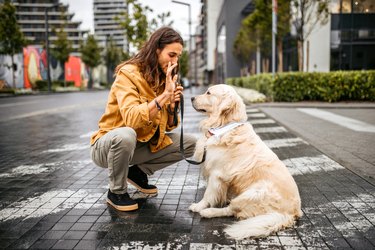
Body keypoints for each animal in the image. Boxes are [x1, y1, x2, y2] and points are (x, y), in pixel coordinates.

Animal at [189, 85, 304, 239]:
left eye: (209, 93)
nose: (191, 98)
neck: (224, 125)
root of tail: (291, 214)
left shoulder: (216, 174)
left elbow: (208, 195)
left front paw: (199, 206)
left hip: (253, 194)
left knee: (231, 210)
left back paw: (208, 212)